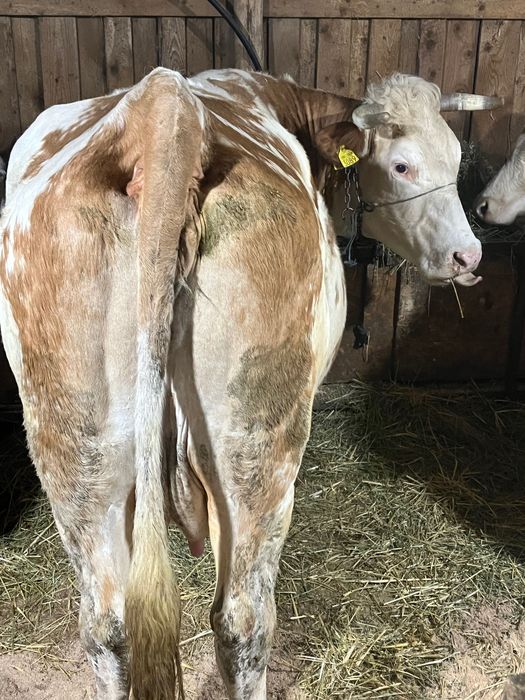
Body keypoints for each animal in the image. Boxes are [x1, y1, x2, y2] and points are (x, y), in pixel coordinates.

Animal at [0, 68, 499, 699]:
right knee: (242, 620)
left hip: (74, 444)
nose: (468, 256)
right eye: (402, 165)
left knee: (106, 626)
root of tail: (164, 113)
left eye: (455, 157)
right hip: (256, 445)